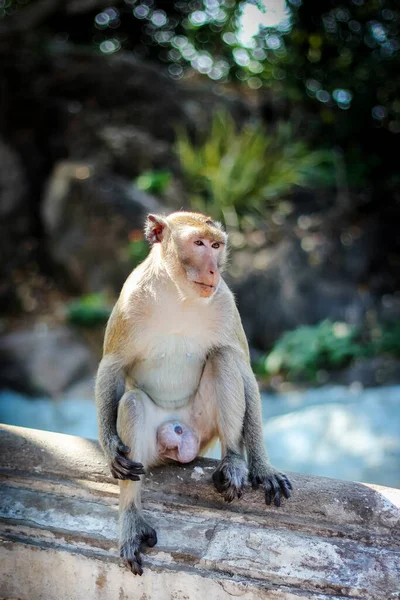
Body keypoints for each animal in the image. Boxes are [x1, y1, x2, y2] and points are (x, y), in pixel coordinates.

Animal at [95, 212, 292, 576]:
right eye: (198, 243)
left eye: (216, 245)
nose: (214, 270)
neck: (178, 295)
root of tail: (179, 441)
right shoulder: (129, 299)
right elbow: (112, 366)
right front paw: (110, 447)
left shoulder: (225, 302)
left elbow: (242, 368)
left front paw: (262, 466)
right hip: (154, 447)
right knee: (132, 404)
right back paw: (131, 518)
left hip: (202, 429)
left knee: (223, 359)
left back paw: (233, 463)